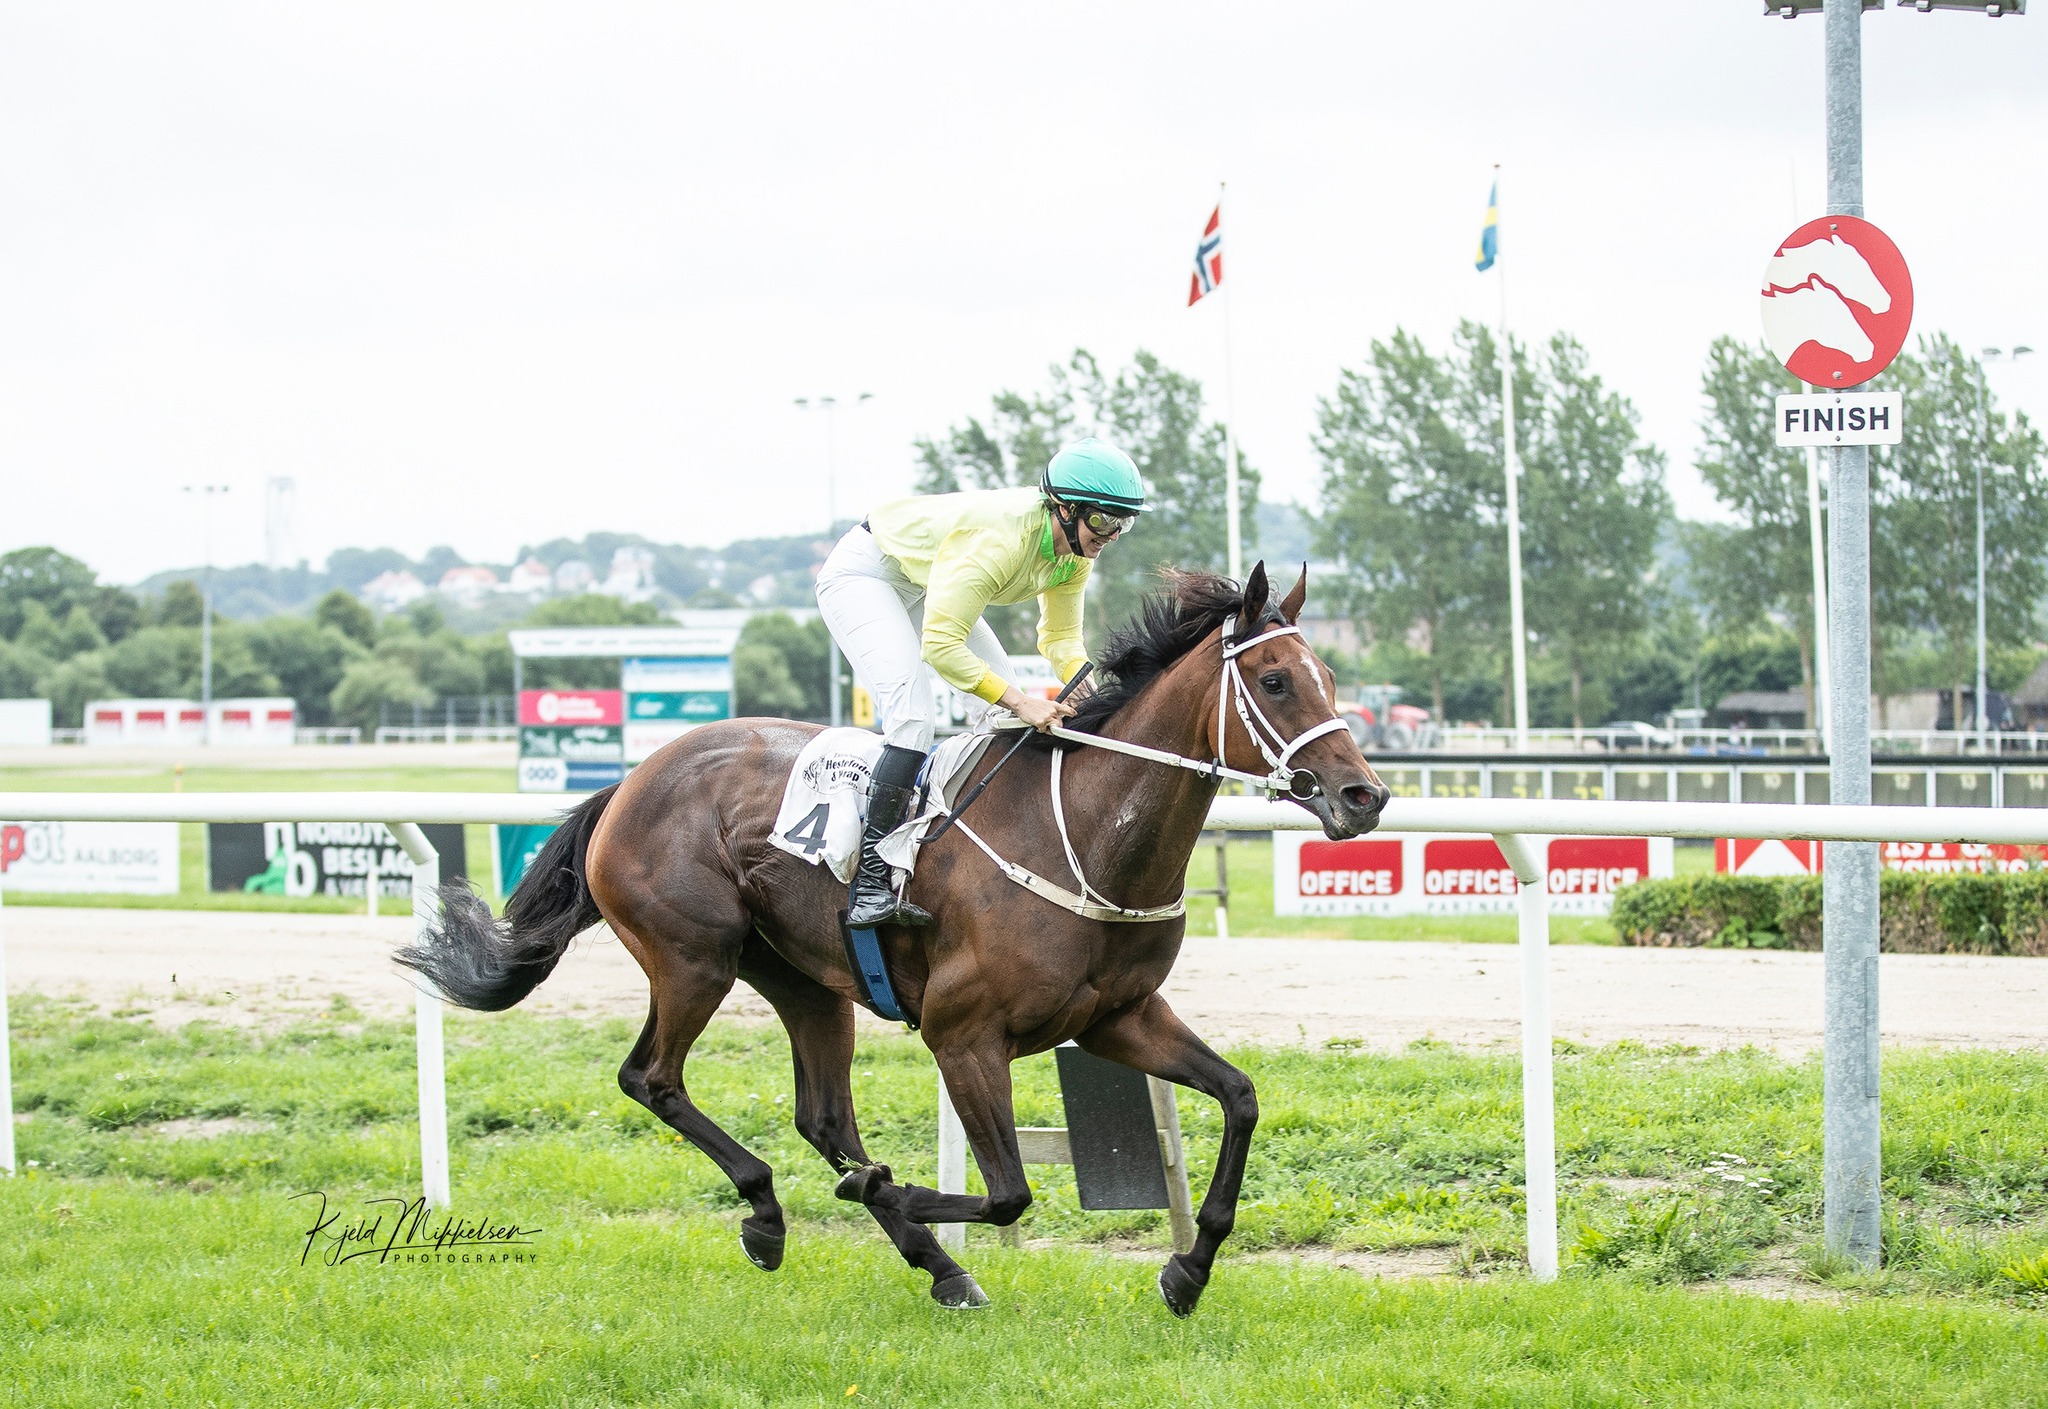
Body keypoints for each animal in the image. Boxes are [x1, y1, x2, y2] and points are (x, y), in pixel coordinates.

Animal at [395, 557, 1392, 1310]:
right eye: (1274, 680)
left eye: (1333, 680)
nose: (1365, 795)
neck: (1085, 831)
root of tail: (632, 780)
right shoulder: (964, 1032)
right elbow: (1009, 1192)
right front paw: (890, 1189)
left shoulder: (1118, 1016)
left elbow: (1241, 1097)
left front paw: (1187, 1269)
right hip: (692, 957)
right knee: (653, 1077)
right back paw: (774, 1214)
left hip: (802, 979)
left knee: (822, 1113)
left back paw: (933, 1263)